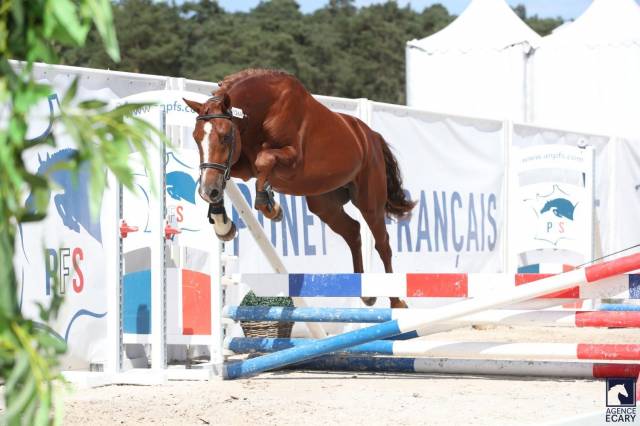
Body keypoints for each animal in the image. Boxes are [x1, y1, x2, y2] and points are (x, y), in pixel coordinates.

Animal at [184, 69, 415, 309]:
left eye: (225, 136)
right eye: (196, 138)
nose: (206, 191)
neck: (264, 111)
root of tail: (371, 136)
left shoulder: (293, 161)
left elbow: (264, 160)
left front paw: (271, 206)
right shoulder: (240, 166)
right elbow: (226, 176)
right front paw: (223, 225)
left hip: (369, 201)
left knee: (382, 243)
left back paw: (396, 302)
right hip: (324, 204)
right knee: (353, 230)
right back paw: (365, 293)